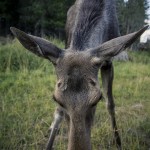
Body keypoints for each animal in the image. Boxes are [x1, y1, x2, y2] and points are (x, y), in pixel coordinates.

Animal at [10, 0, 148, 150]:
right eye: (56, 99)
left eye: (97, 99)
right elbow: (58, 113)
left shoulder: (108, 62)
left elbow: (110, 104)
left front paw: (118, 143)